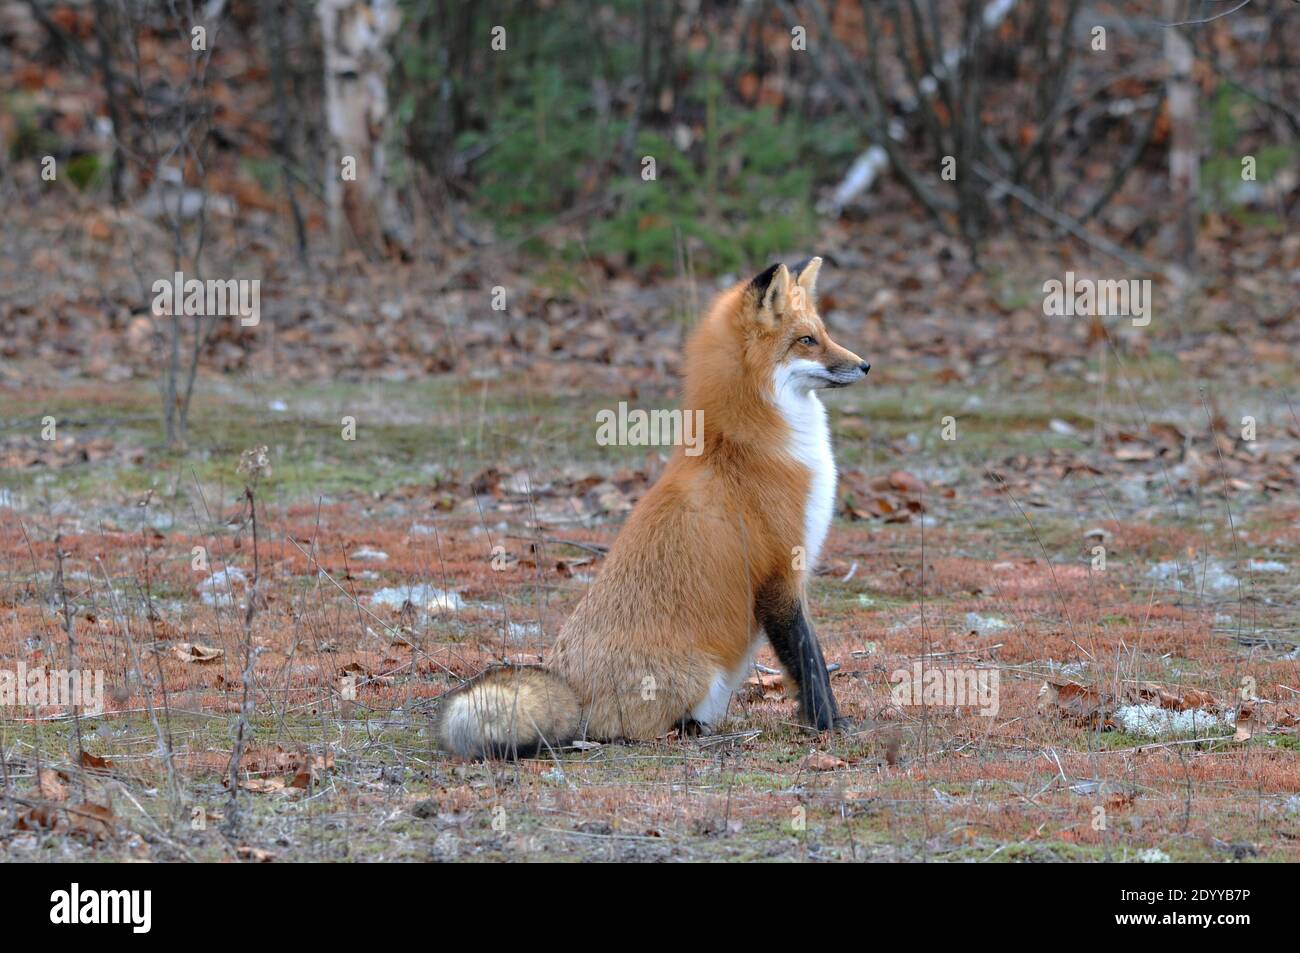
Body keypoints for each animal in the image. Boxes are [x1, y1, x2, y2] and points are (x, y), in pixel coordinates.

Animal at [439, 256, 873, 754]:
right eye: (807, 340)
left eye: (823, 333)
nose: (865, 365)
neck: (742, 447)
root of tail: (573, 692)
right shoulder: (781, 573)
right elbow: (810, 663)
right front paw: (829, 725)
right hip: (699, 676)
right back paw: (689, 729)